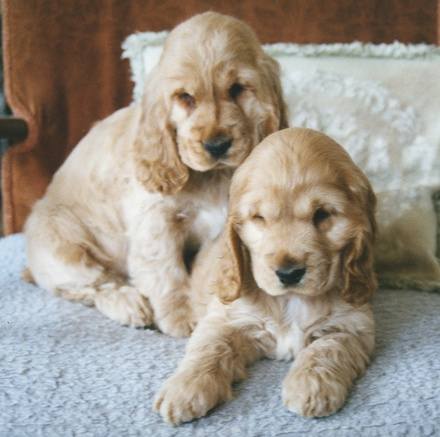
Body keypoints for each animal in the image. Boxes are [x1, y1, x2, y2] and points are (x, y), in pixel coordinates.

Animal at [24, 11, 288, 338]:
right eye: (185, 97)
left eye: (237, 88)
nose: (216, 145)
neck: (212, 177)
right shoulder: (156, 222)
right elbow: (166, 271)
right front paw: (182, 317)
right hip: (62, 248)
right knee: (92, 284)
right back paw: (129, 304)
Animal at [153, 127, 376, 424]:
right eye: (259, 218)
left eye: (322, 214)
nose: (289, 273)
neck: (290, 301)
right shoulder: (226, 318)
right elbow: (208, 348)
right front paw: (185, 388)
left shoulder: (353, 325)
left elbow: (327, 348)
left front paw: (311, 386)